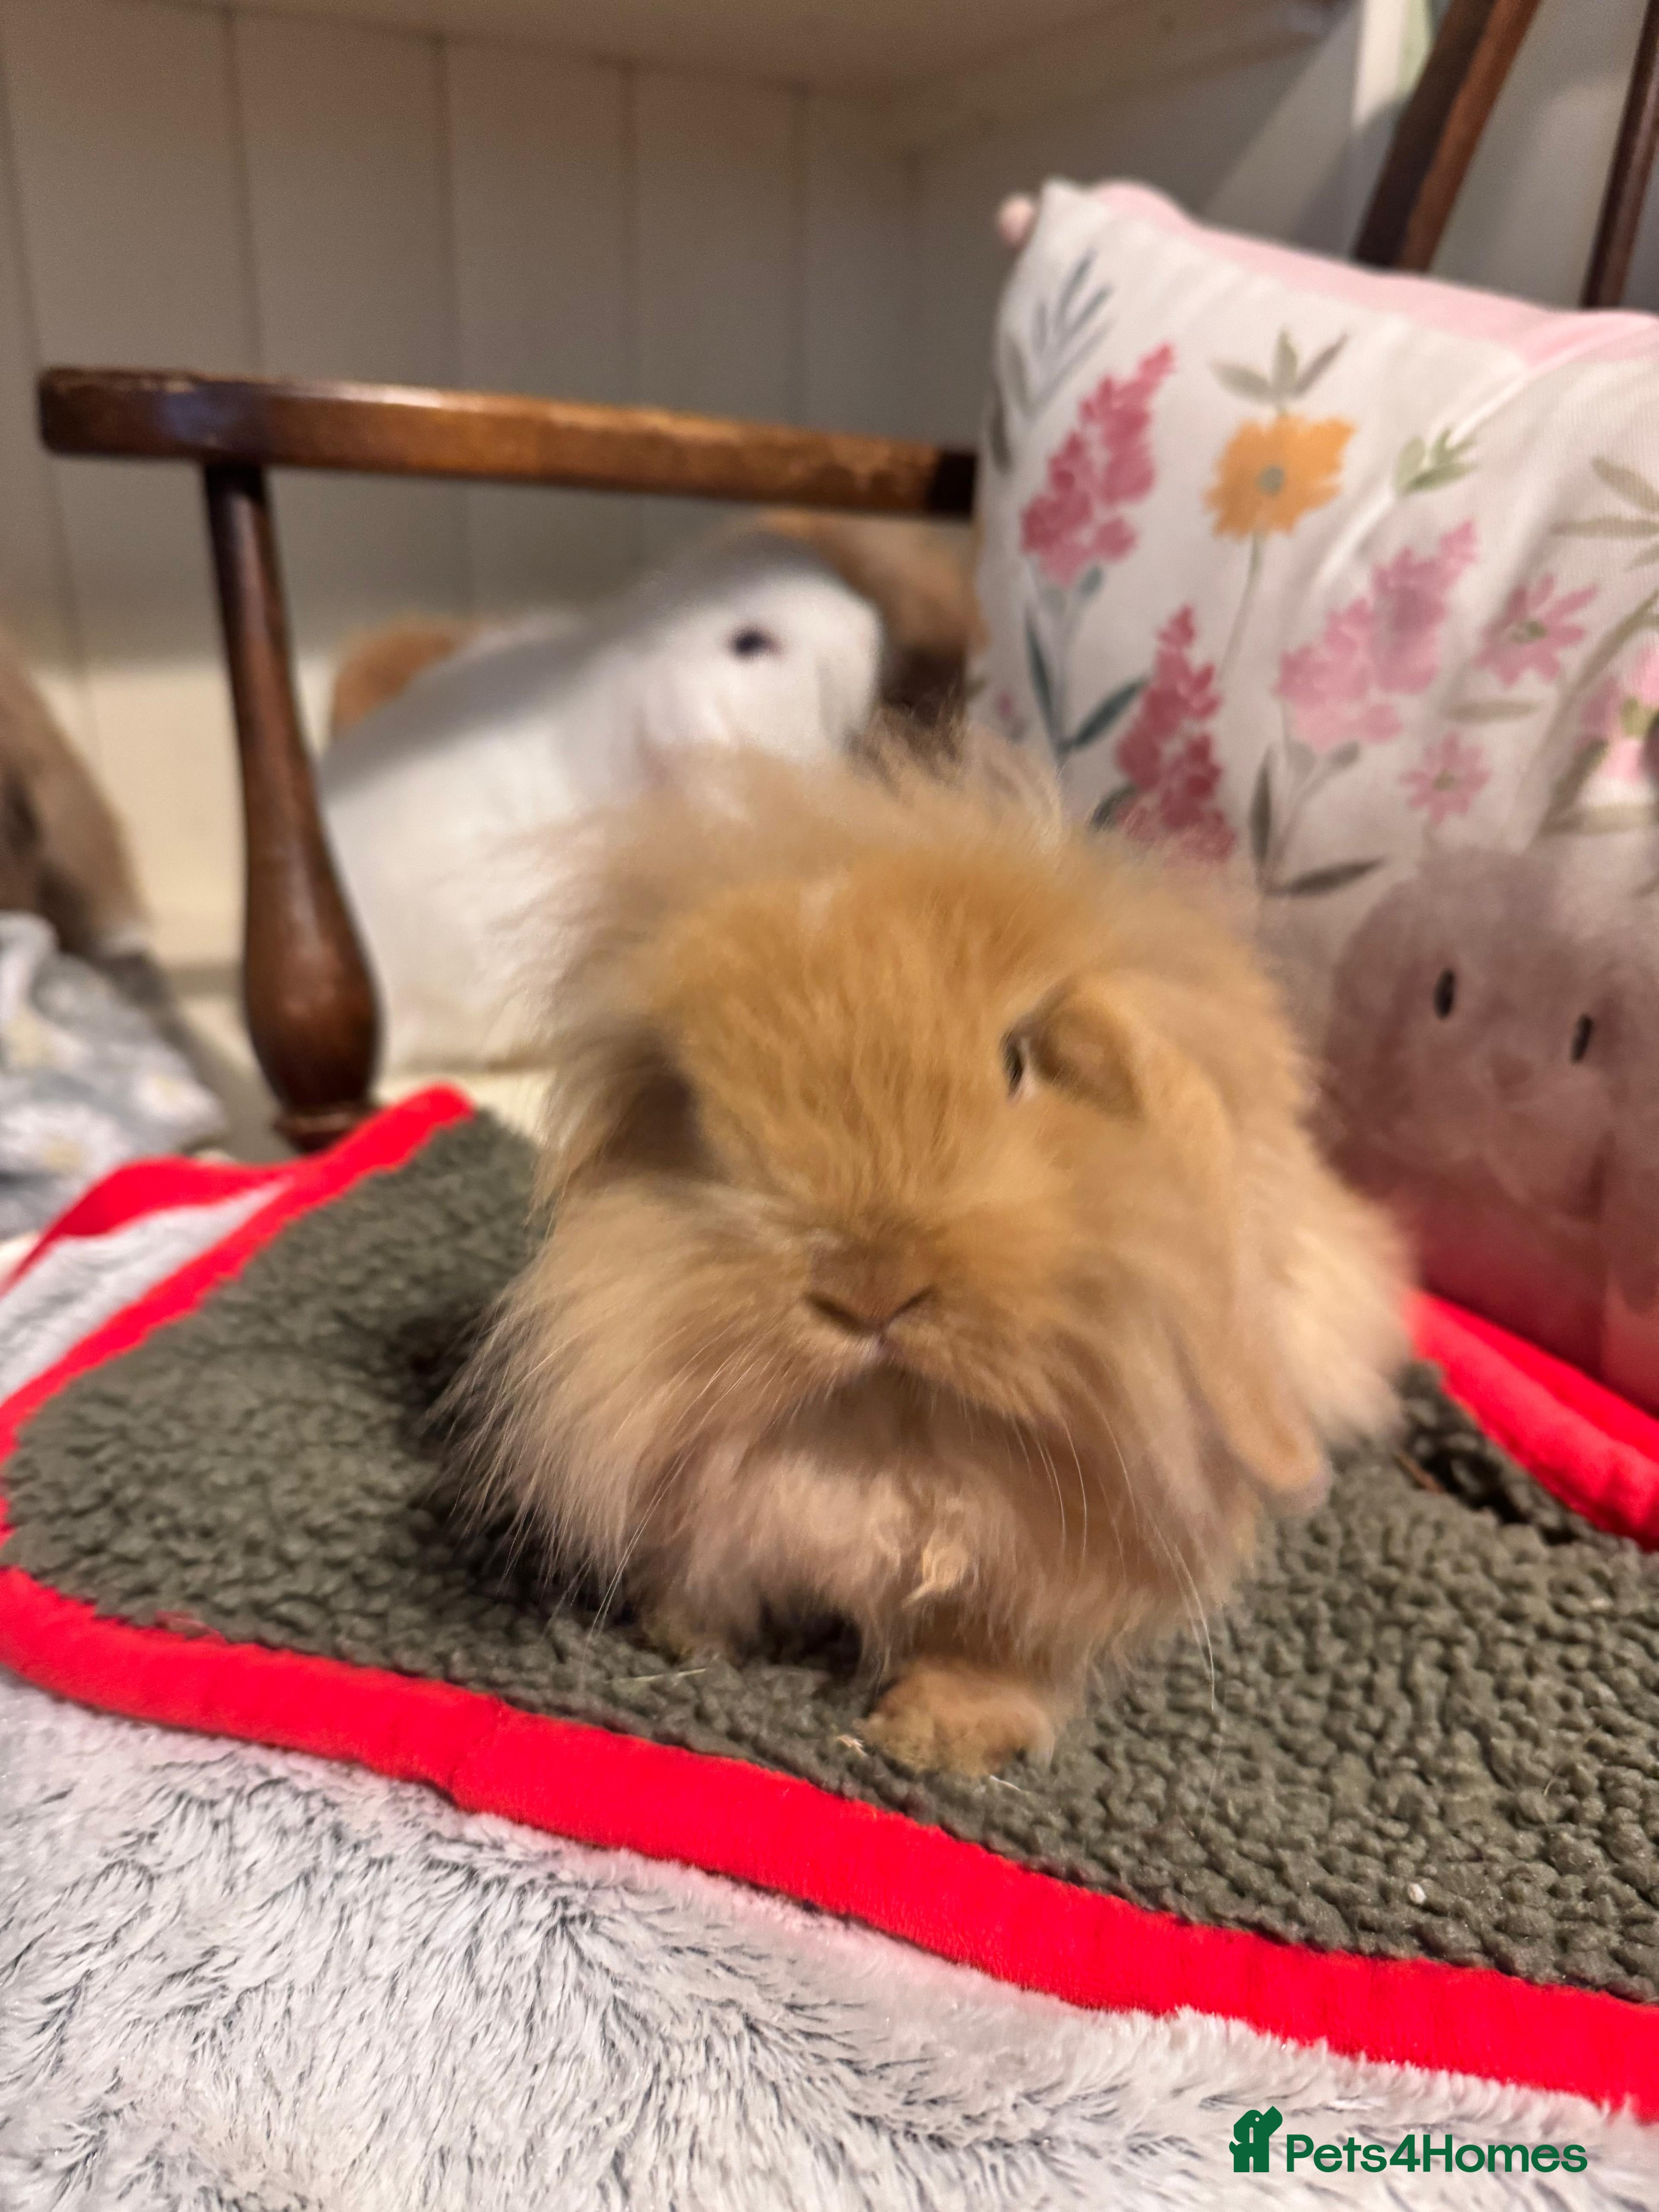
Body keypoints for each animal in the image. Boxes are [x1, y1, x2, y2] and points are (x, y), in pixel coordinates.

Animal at [454, 726, 1408, 1776]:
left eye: (1018, 1064)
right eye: (698, 1114)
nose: (869, 1287)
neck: (899, 1423)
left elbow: (996, 1649)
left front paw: (939, 1738)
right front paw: (683, 1632)